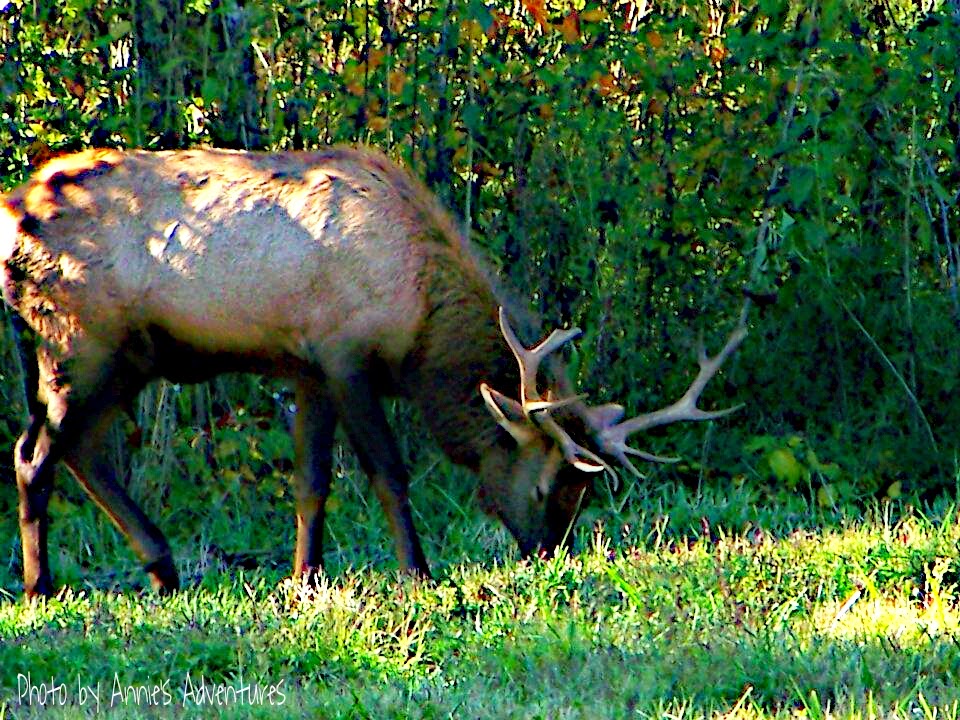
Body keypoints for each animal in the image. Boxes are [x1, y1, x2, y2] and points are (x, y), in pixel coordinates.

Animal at [0, 146, 747, 598]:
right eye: (546, 487)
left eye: (583, 493)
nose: (546, 555)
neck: (417, 324)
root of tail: (15, 213)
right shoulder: (343, 352)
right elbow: (388, 471)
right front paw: (417, 572)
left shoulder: (304, 365)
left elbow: (311, 482)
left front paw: (305, 579)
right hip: (76, 339)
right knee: (34, 452)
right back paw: (42, 588)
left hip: (128, 356)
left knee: (82, 450)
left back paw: (163, 569)